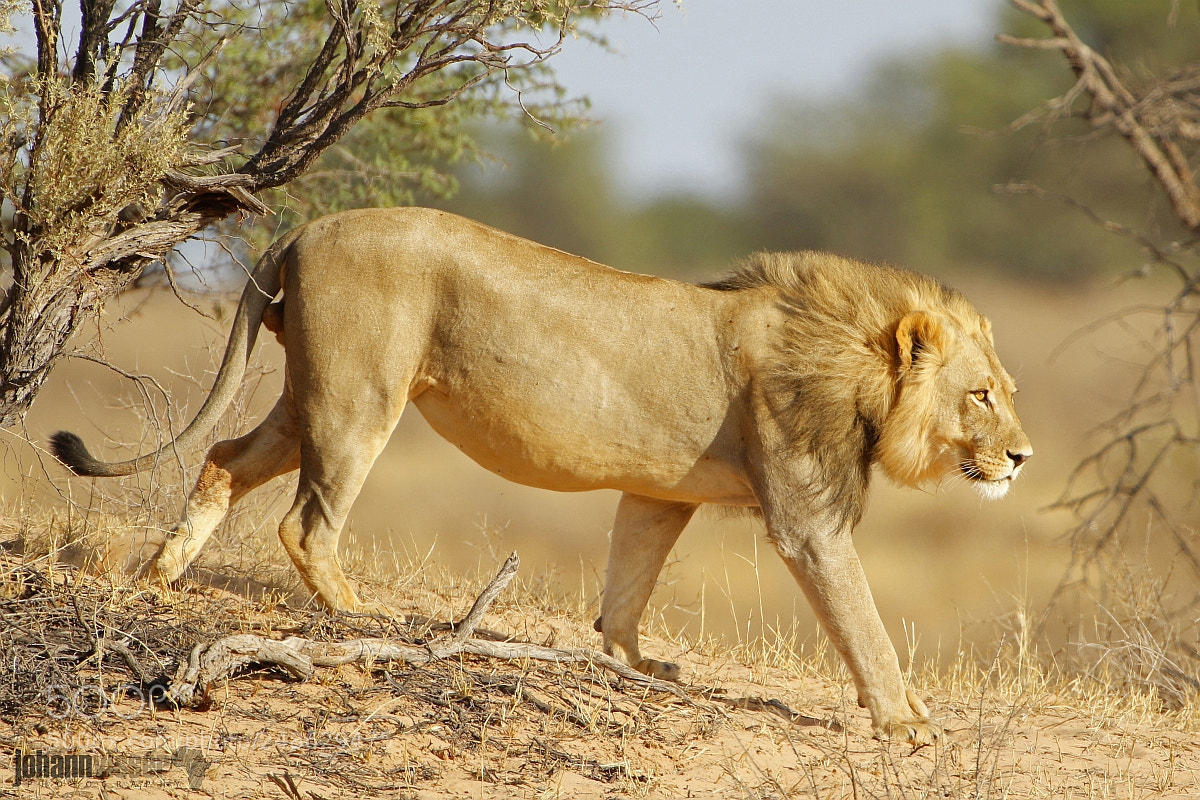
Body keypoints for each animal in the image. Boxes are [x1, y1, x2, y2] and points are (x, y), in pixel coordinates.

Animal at [51, 207, 1031, 744]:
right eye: (981, 395)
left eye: (1009, 393)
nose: (1022, 457)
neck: (860, 369)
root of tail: (304, 227)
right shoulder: (808, 517)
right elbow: (862, 619)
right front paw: (905, 721)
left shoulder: (660, 492)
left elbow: (628, 579)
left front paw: (631, 662)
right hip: (359, 396)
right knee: (307, 521)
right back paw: (365, 616)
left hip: (310, 396)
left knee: (223, 458)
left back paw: (162, 576)